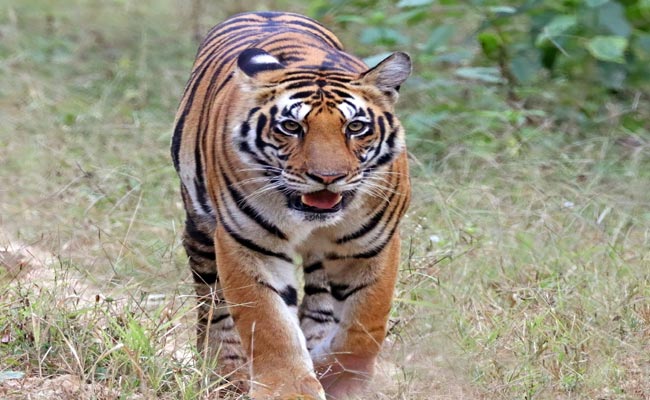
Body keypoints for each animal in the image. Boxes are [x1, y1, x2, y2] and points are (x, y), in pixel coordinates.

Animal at [171, 11, 411, 400]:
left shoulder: (372, 245)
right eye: (291, 126)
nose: (327, 177)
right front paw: (290, 389)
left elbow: (365, 324)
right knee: (214, 306)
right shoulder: (249, 244)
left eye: (355, 127)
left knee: (320, 300)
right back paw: (227, 374)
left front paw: (338, 378)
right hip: (201, 232)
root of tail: (265, 12)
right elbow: (269, 323)